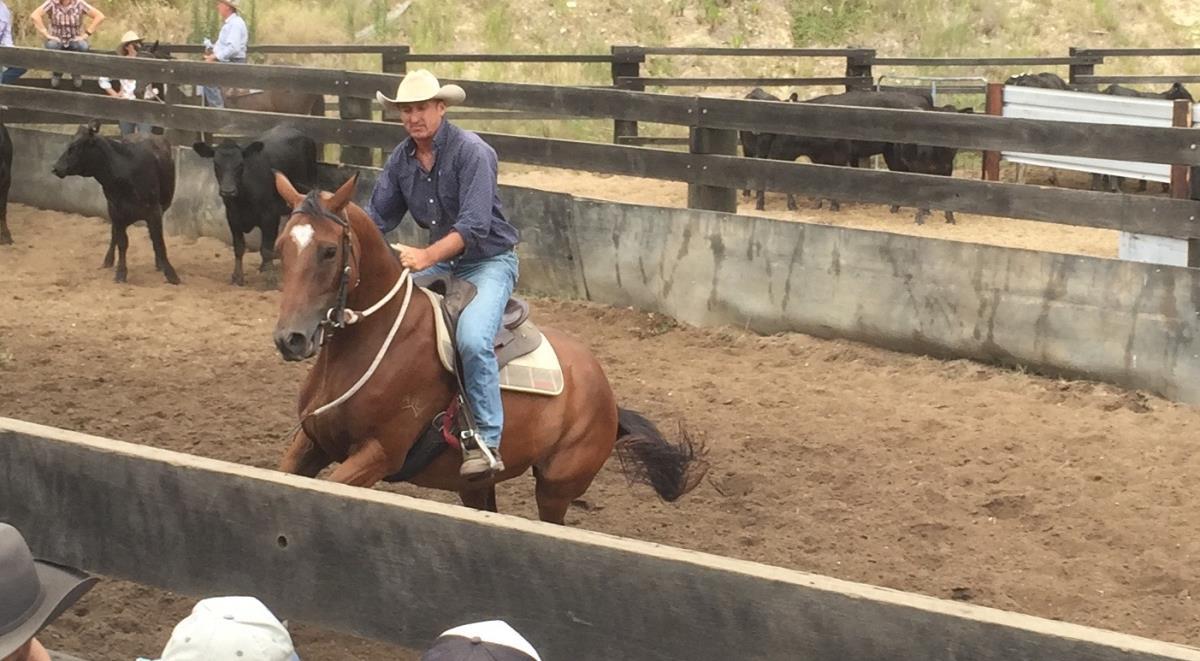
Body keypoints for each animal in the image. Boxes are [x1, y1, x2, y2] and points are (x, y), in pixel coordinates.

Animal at [52, 121, 179, 284]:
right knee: (114, 235)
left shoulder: (154, 211)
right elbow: (122, 242)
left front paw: (170, 273)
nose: (56, 168)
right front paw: (121, 272)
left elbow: (158, 242)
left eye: (76, 147)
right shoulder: (116, 211)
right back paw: (108, 260)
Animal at [193, 125, 318, 286]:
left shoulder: (270, 216)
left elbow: (266, 248)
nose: (228, 191)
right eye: (216, 164)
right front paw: (237, 276)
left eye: (240, 165)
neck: (243, 198)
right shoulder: (232, 217)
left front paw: (270, 278)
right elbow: (239, 247)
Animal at [269, 172, 707, 523]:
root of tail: (606, 394)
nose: (290, 338)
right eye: (281, 247)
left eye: (329, 251)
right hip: (477, 485)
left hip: (556, 488)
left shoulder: (377, 455)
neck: (368, 344)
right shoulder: (311, 443)